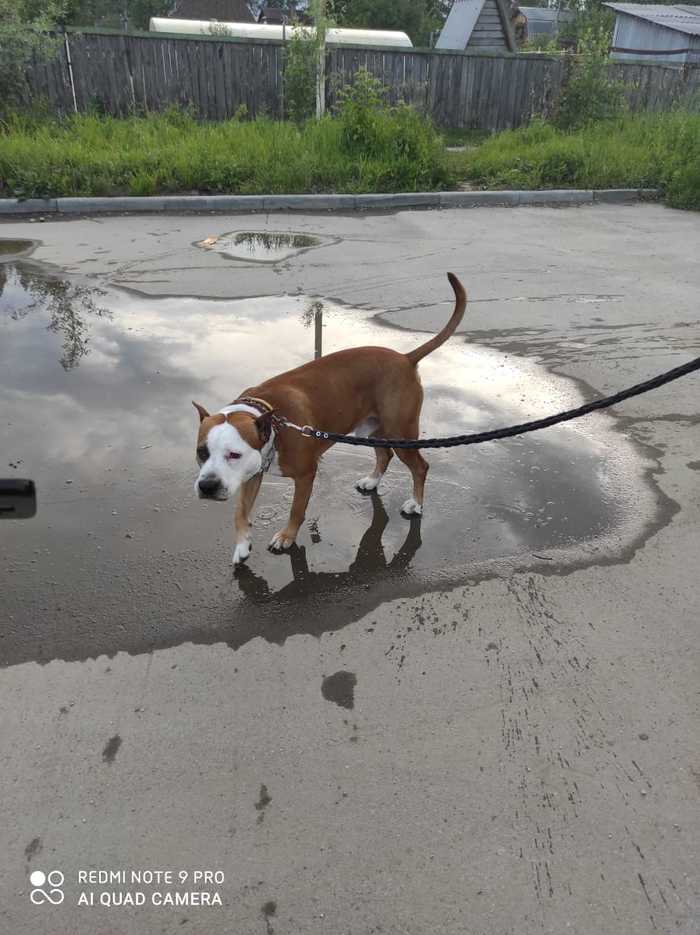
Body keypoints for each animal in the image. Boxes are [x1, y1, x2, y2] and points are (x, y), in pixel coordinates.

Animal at [193, 270, 464, 564]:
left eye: (234, 454)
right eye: (201, 453)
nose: (207, 486)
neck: (272, 422)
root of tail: (405, 358)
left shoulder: (305, 475)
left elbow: (296, 511)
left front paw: (286, 537)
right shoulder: (252, 474)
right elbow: (240, 513)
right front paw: (242, 545)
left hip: (399, 430)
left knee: (419, 467)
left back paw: (416, 503)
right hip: (370, 429)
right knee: (384, 454)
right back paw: (373, 481)